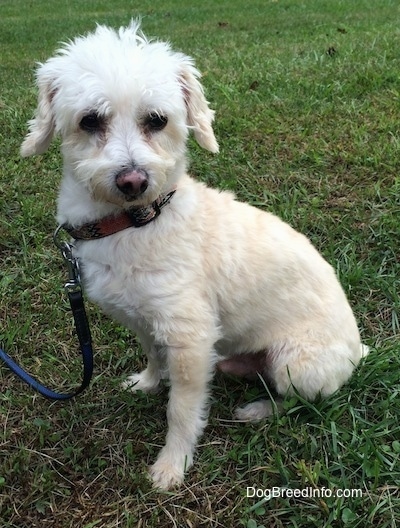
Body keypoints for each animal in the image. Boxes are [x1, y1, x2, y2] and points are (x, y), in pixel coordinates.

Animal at [20, 21, 368, 490]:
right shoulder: (146, 320)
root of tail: (358, 350)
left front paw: (173, 465)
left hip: (297, 364)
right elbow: (152, 354)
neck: (136, 222)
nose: (133, 180)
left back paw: (259, 409)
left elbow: (181, 410)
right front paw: (148, 382)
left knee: (303, 401)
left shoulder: (190, 336)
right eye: (90, 120)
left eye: (157, 120)